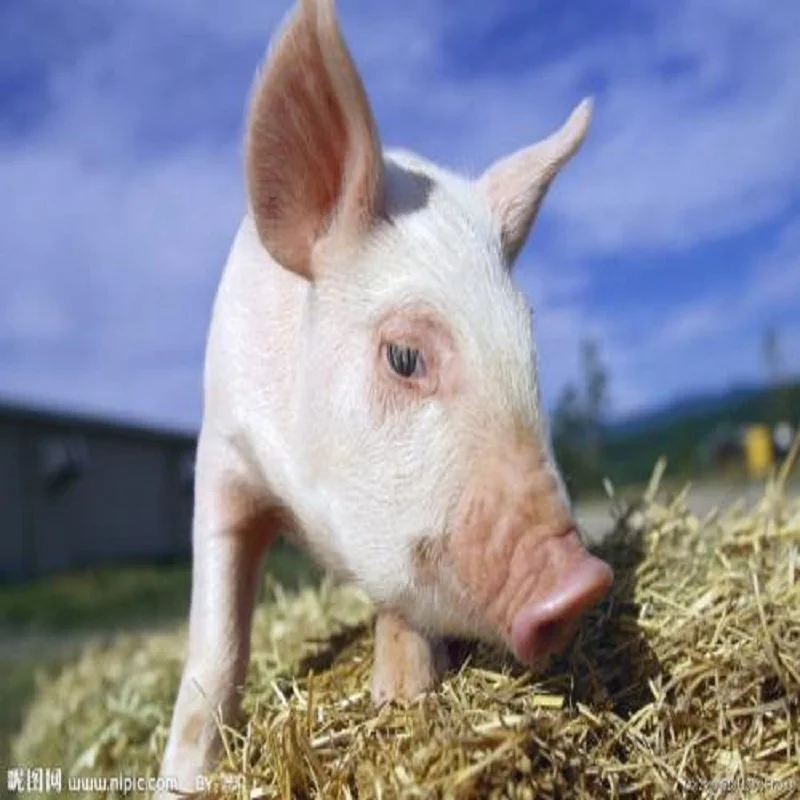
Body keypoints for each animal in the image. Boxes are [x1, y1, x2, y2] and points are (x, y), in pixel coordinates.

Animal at [158, 0, 613, 791]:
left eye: (529, 348)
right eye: (404, 356)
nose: (583, 581)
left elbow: (402, 600)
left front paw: (402, 698)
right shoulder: (221, 449)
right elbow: (214, 640)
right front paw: (179, 782)